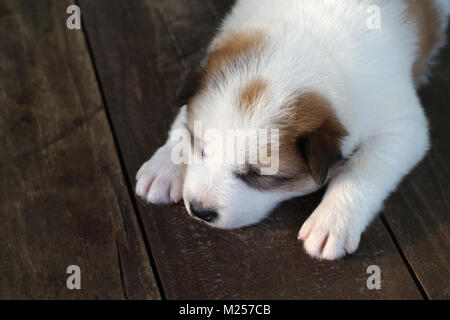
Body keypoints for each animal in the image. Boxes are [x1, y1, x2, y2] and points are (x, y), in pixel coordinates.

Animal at [135, 0, 448, 260]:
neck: (308, 41)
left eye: (259, 175)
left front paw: (332, 221)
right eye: (198, 146)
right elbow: (182, 120)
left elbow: (363, 169)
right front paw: (165, 166)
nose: (200, 210)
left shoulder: (403, 126)